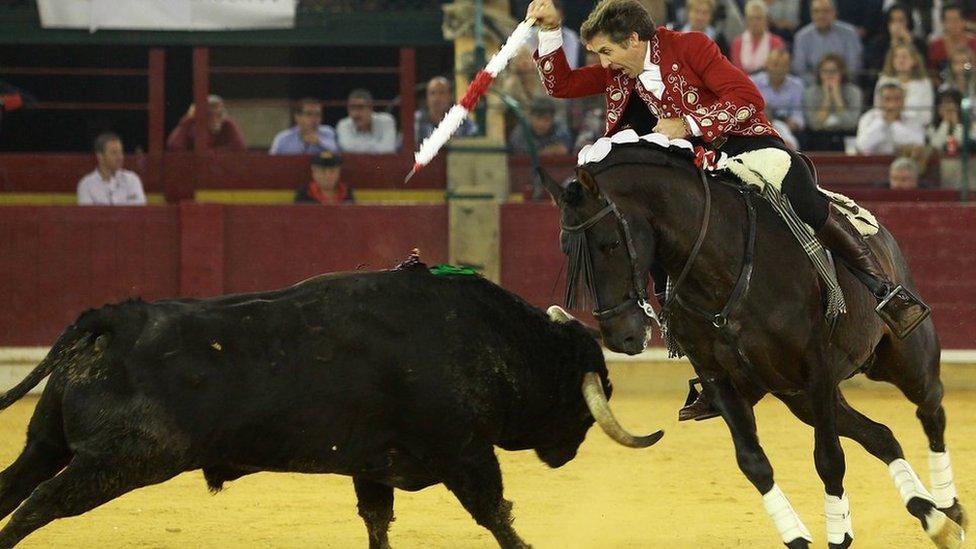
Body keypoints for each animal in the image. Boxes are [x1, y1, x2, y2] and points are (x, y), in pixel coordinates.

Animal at [0, 264, 660, 544]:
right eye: (589, 392)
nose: (568, 451)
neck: (487, 338)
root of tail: (113, 319)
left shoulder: (374, 466)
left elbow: (377, 522)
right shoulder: (464, 452)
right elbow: (496, 515)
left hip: (48, 444)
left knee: (15, 486)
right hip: (120, 462)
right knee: (36, 509)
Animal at [540, 142, 968, 548]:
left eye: (611, 243)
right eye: (564, 247)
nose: (621, 335)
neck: (723, 272)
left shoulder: (816, 369)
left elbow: (828, 458)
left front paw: (837, 536)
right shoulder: (720, 380)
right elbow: (753, 461)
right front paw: (798, 536)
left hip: (902, 358)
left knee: (931, 408)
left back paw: (951, 510)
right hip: (800, 398)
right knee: (881, 434)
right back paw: (932, 518)